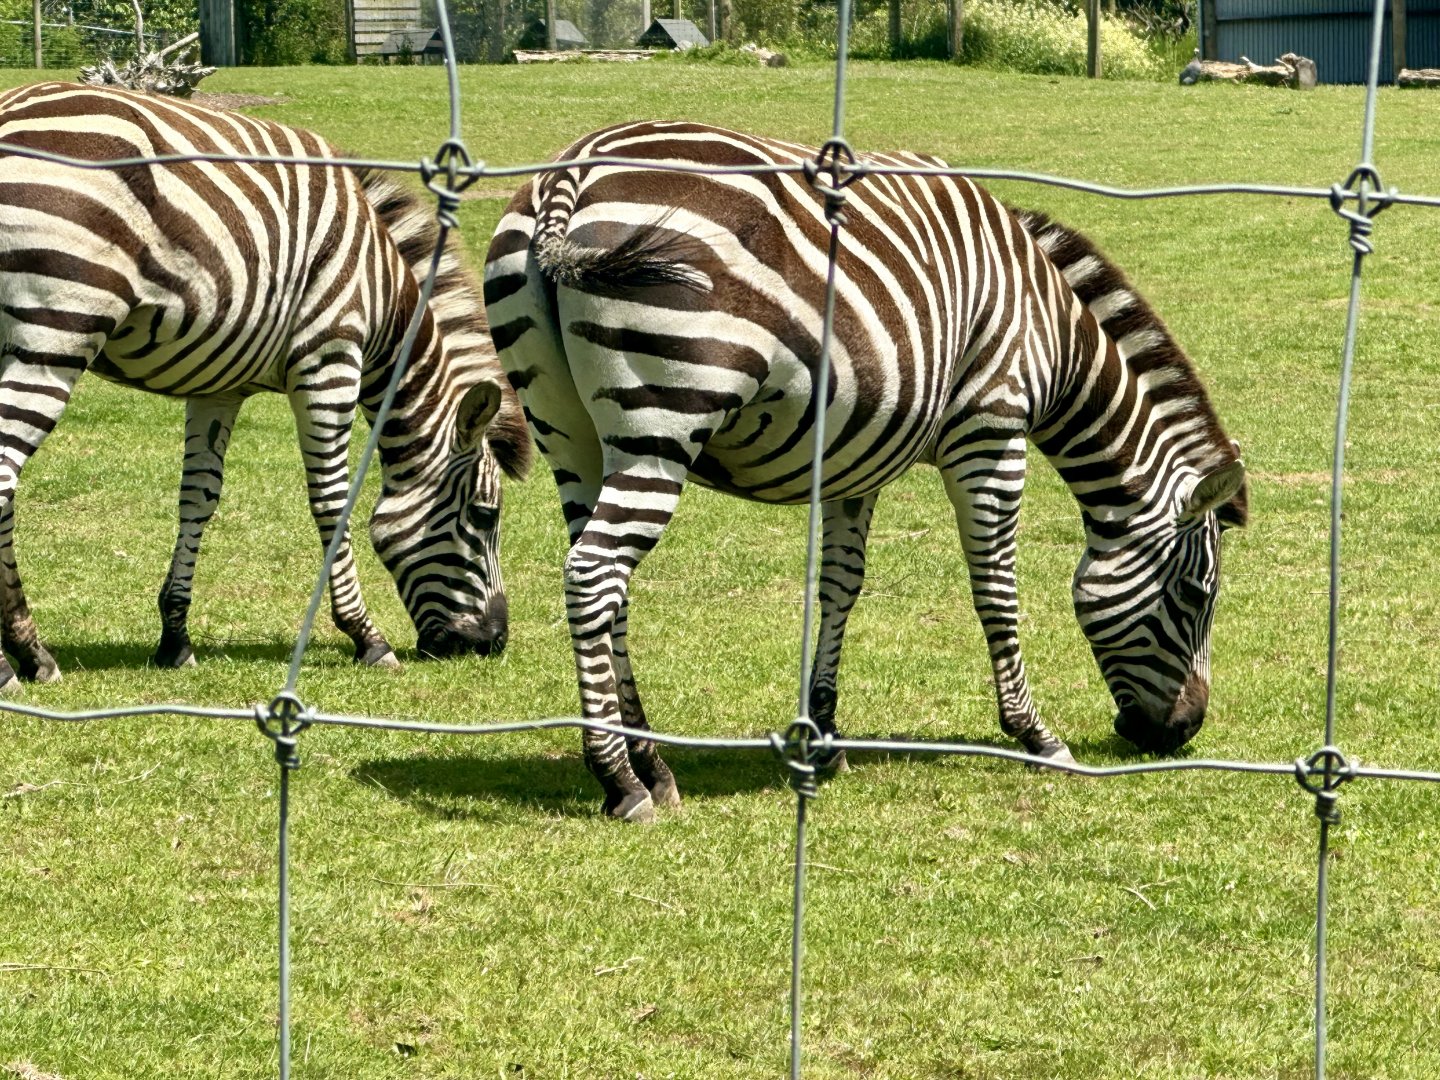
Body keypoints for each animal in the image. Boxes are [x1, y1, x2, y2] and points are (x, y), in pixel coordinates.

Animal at [0, 81, 531, 691]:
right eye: (486, 516)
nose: (493, 643)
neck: (381, 301)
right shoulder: (329, 358)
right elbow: (332, 501)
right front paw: (367, 637)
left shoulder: (217, 386)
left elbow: (198, 498)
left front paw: (175, 638)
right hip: (58, 328)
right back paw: (15, 661)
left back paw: (30, 652)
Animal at [484, 120, 1247, 822]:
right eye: (1197, 595)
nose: (1182, 734)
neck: (1053, 338)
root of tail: (574, 167)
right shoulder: (990, 427)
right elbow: (995, 588)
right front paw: (1035, 735)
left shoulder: (859, 457)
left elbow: (840, 586)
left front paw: (823, 733)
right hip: (663, 419)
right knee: (593, 575)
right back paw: (620, 779)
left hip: (569, 434)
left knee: (607, 588)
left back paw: (650, 760)